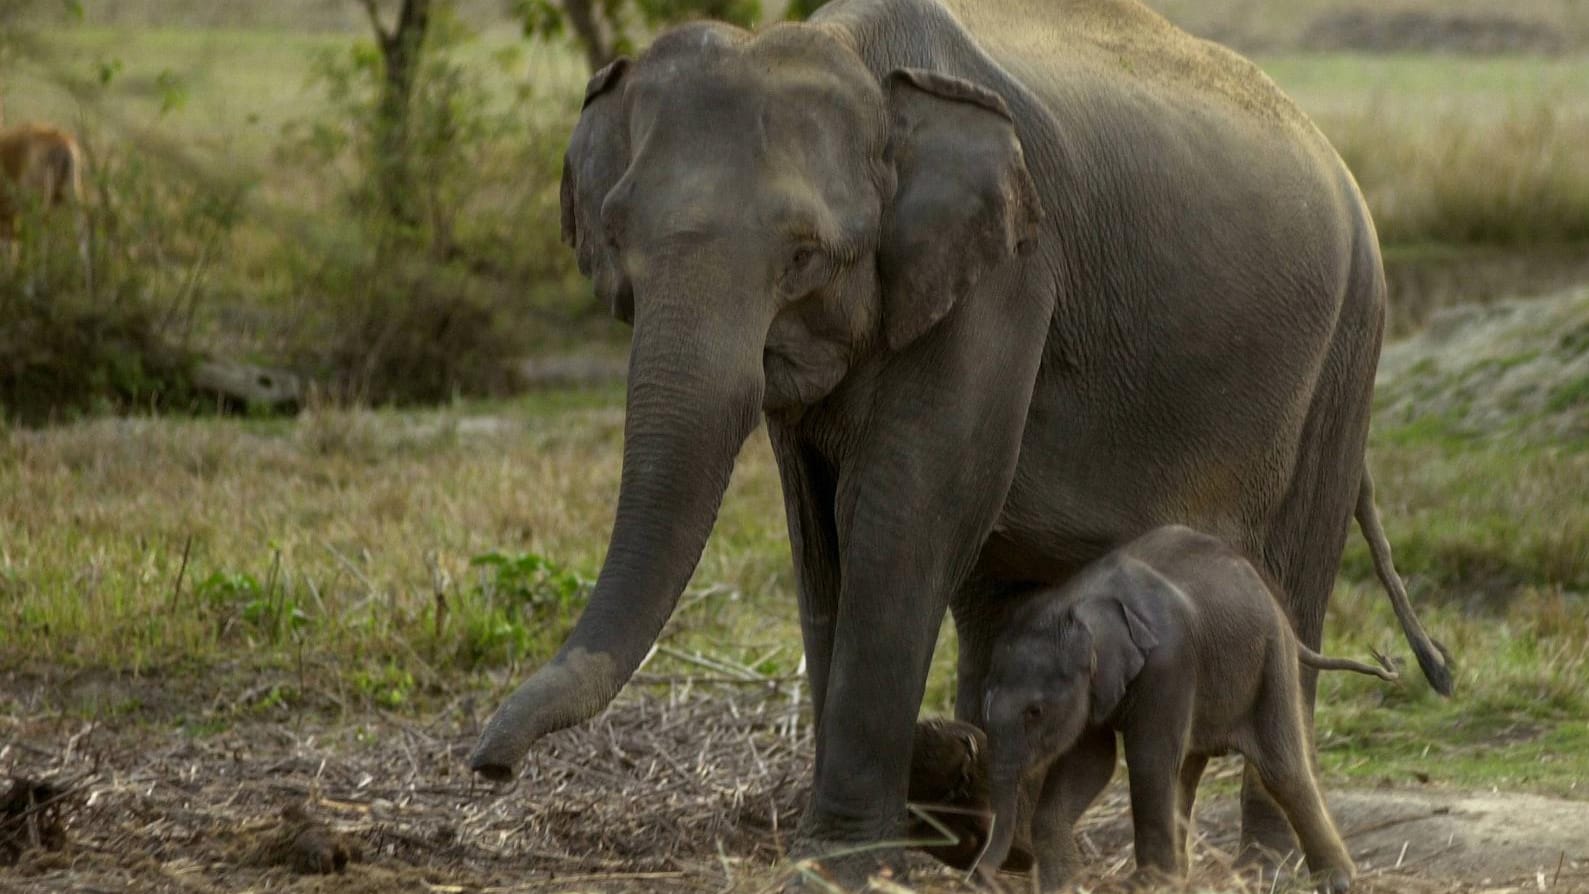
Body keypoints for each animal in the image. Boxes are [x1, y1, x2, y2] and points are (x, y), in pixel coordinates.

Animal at [972, 524, 1398, 894]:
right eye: (987, 699)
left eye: (1034, 712)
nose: (978, 878)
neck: (1079, 602)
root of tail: (1266, 589)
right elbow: (1093, 760)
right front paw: (1067, 886)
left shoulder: (1169, 661)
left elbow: (1147, 760)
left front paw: (1145, 886)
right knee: (1188, 769)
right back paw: (1185, 876)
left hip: (1272, 657)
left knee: (1282, 768)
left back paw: (1336, 882)